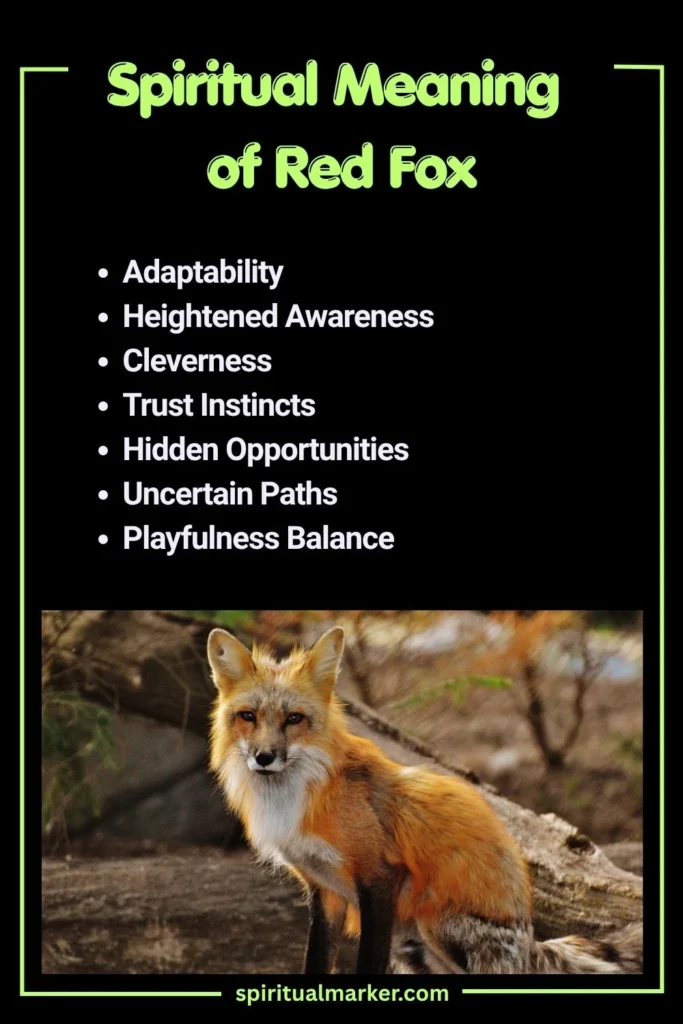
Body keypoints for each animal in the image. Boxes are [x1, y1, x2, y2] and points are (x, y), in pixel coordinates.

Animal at [208, 625, 642, 976]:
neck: (301, 795)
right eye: (248, 716)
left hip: (434, 924)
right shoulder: (324, 891)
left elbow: (368, 964)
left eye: (294, 719)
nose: (264, 757)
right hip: (411, 946)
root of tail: (533, 941)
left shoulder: (380, 878)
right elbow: (315, 962)